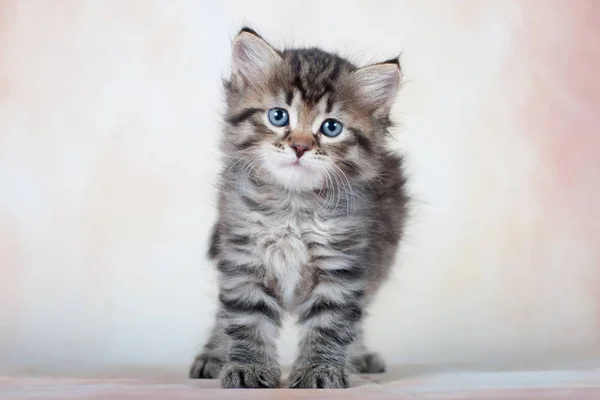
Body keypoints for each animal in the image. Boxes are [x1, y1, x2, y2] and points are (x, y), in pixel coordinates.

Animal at [189, 27, 408, 388]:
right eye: (278, 116)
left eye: (331, 127)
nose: (300, 147)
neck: (293, 204)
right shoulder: (244, 256)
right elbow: (245, 319)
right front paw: (247, 368)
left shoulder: (342, 264)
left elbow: (332, 324)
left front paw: (320, 371)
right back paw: (214, 355)